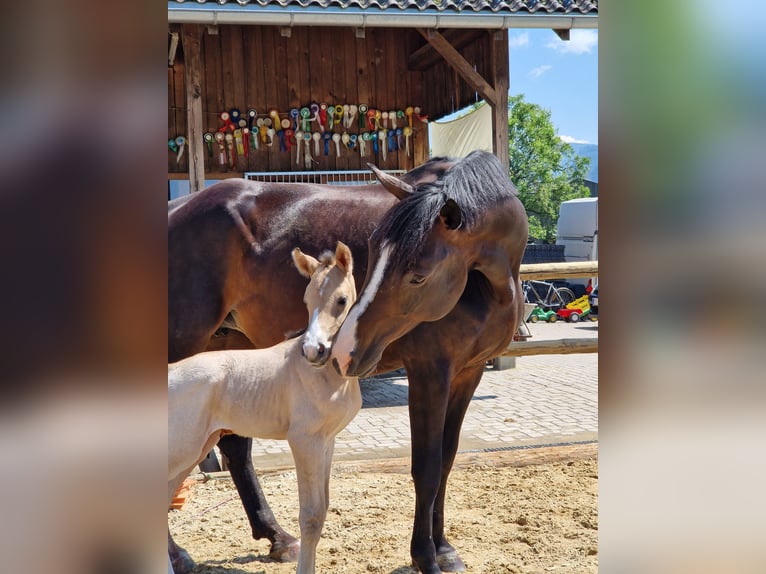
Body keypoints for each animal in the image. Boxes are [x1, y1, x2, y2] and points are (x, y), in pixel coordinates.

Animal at [169, 242, 359, 574]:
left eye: (341, 300)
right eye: (307, 300)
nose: (313, 350)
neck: (327, 373)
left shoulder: (327, 441)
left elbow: (323, 509)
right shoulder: (304, 440)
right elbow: (310, 515)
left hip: (195, 449)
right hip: (182, 448)